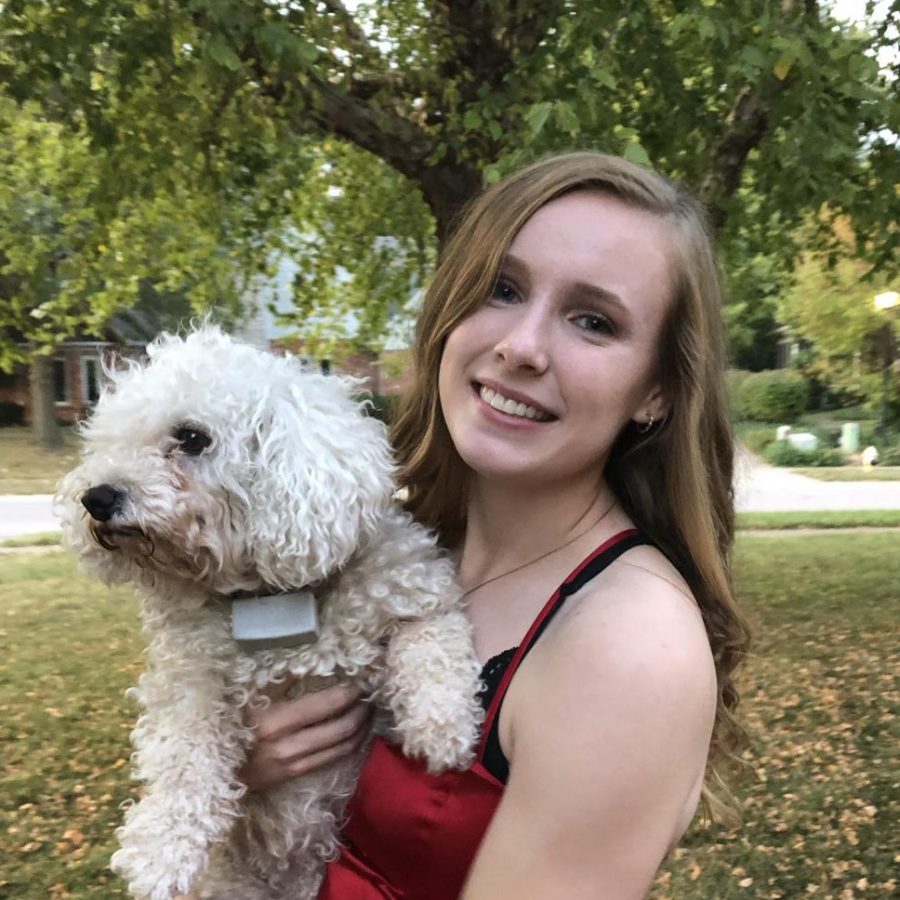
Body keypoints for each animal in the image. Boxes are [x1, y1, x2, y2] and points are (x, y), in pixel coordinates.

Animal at [57, 326, 486, 900]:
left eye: (192, 438)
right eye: (107, 439)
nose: (96, 497)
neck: (268, 596)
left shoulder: (415, 588)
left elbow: (432, 645)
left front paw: (443, 729)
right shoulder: (188, 675)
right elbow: (183, 752)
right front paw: (161, 847)